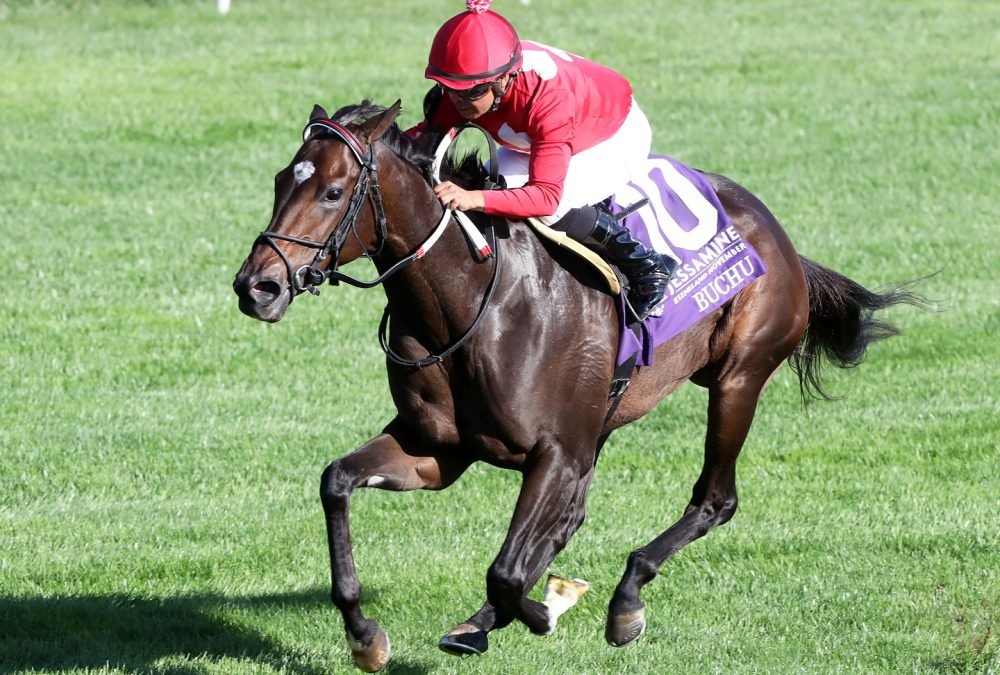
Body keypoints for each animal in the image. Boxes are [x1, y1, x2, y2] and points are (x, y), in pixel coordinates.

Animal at [230, 99, 924, 672]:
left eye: (333, 191)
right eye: (279, 181)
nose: (256, 286)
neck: (473, 305)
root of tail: (771, 226)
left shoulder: (556, 451)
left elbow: (507, 573)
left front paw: (548, 610)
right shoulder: (440, 451)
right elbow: (337, 482)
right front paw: (365, 635)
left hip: (738, 377)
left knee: (714, 499)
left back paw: (625, 600)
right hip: (605, 421)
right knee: (572, 518)